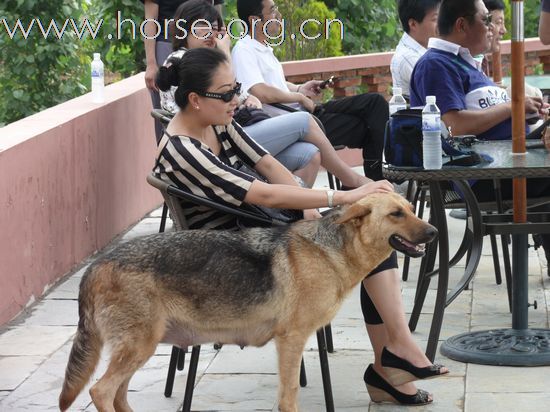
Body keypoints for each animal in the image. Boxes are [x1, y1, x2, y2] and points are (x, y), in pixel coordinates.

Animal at [59, 193, 436, 412]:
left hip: (138, 350)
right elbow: (289, 396)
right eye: (396, 214)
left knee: (118, 395)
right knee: (101, 392)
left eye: (410, 209)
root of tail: (97, 265)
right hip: (138, 347)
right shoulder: (292, 340)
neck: (332, 249)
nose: (433, 232)